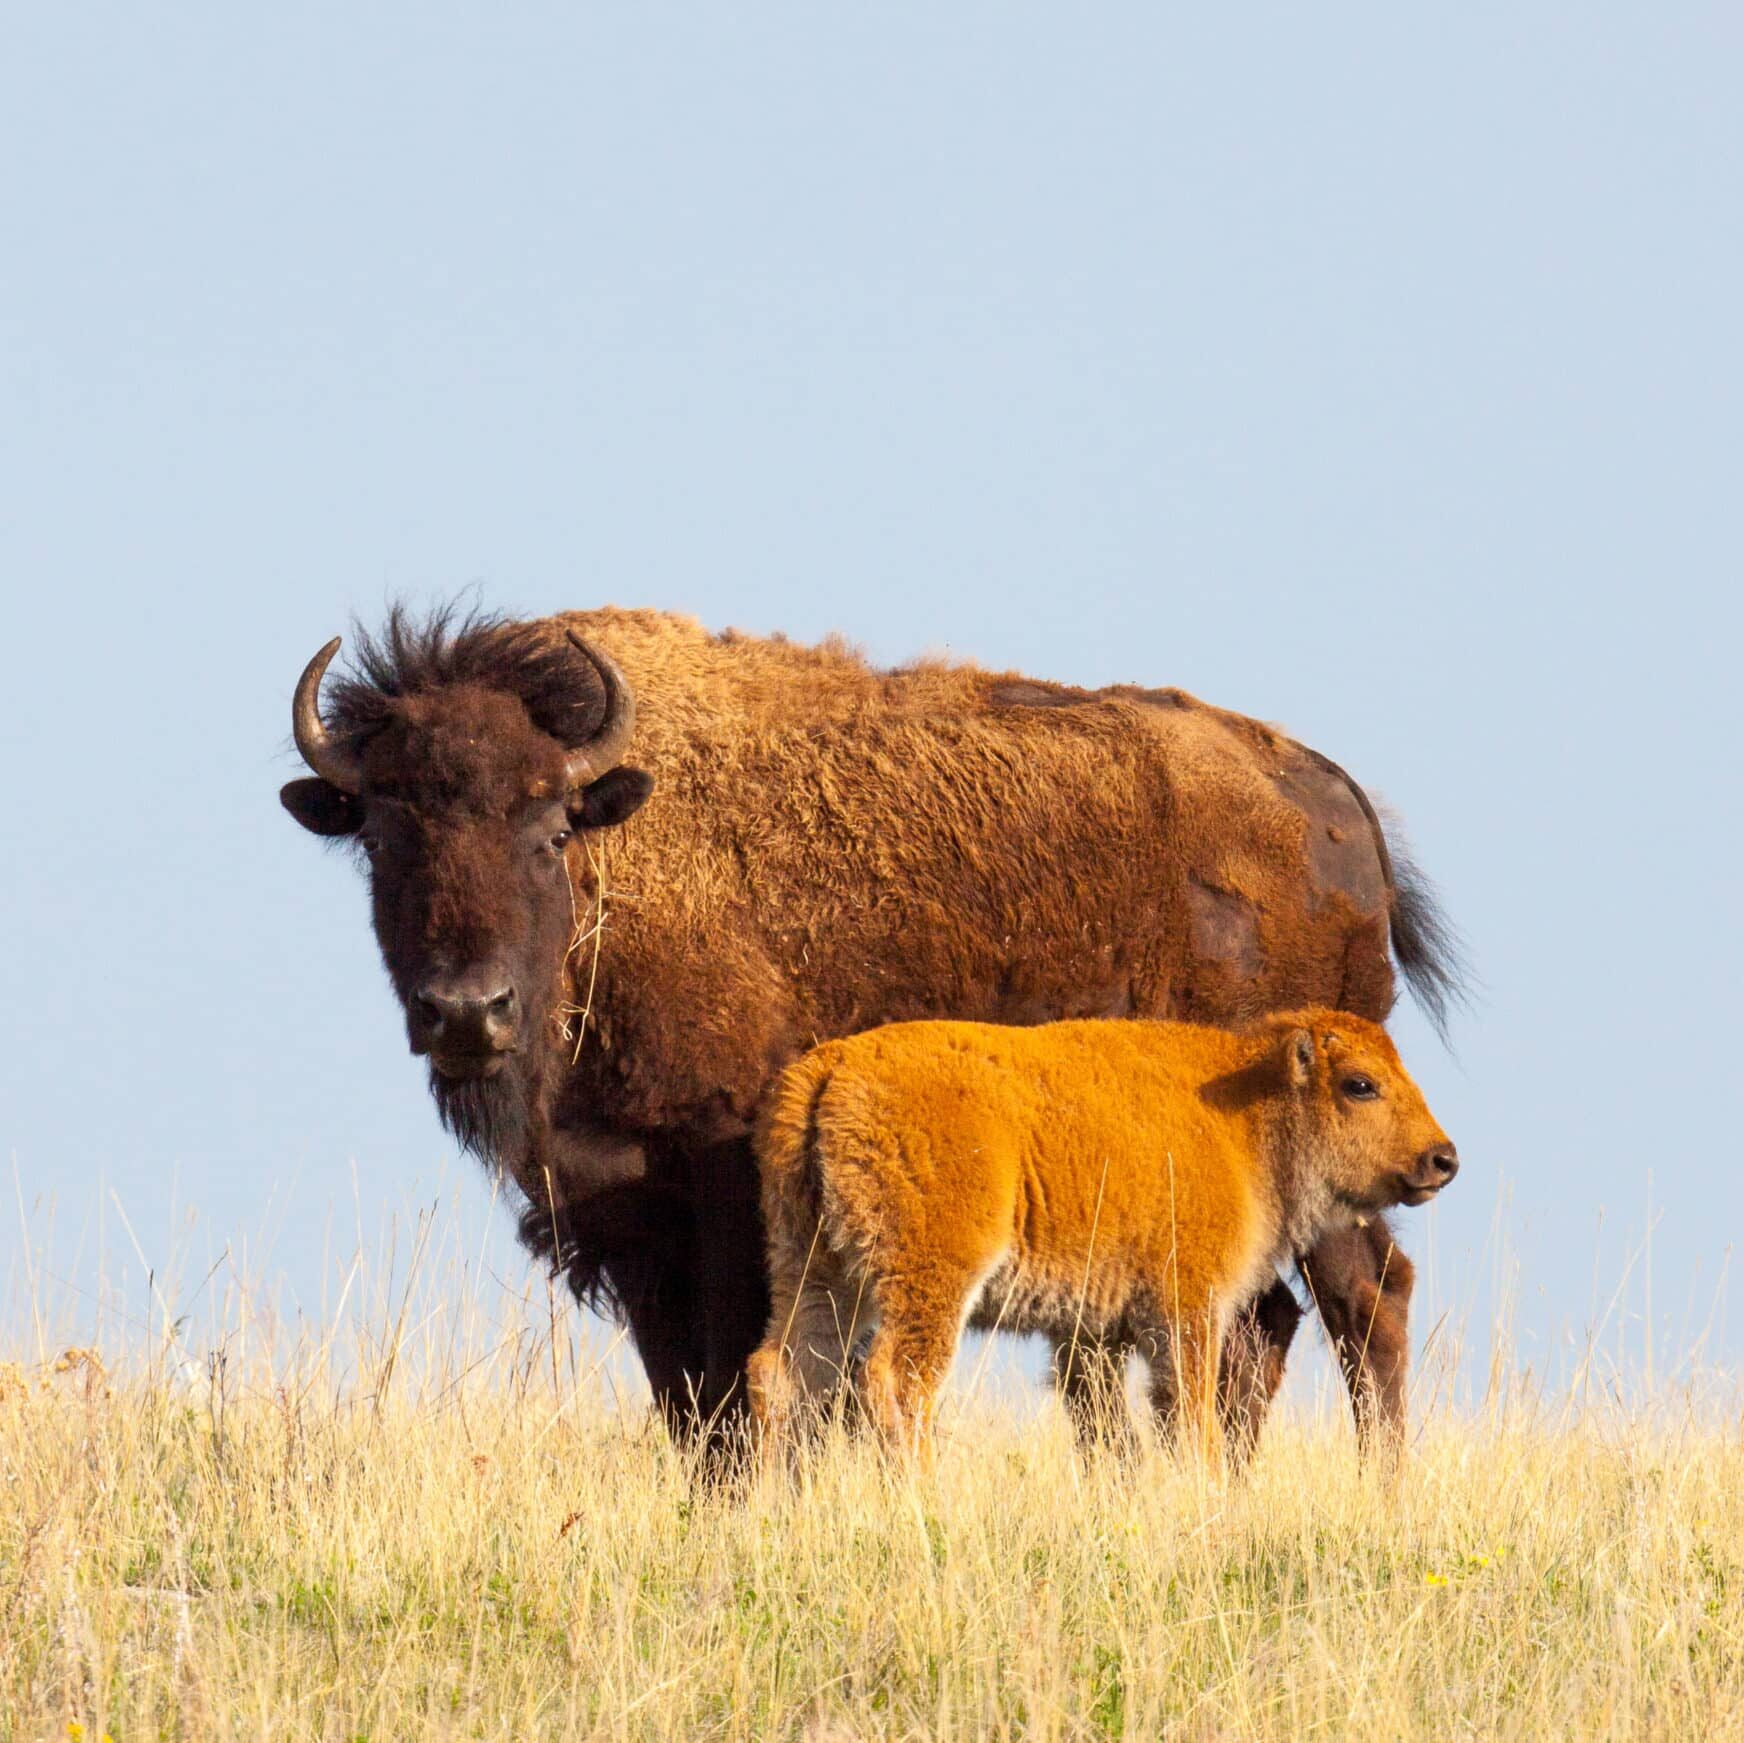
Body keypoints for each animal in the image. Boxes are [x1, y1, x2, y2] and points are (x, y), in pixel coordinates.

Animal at [746, 1010, 1457, 1467]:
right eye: (1359, 1084)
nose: (1442, 1159)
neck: (1244, 1115)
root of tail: (832, 1066)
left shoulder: (1090, 1334)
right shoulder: (1186, 1309)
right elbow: (1187, 1414)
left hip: (814, 1269)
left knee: (783, 1373)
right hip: (929, 1279)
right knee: (896, 1380)